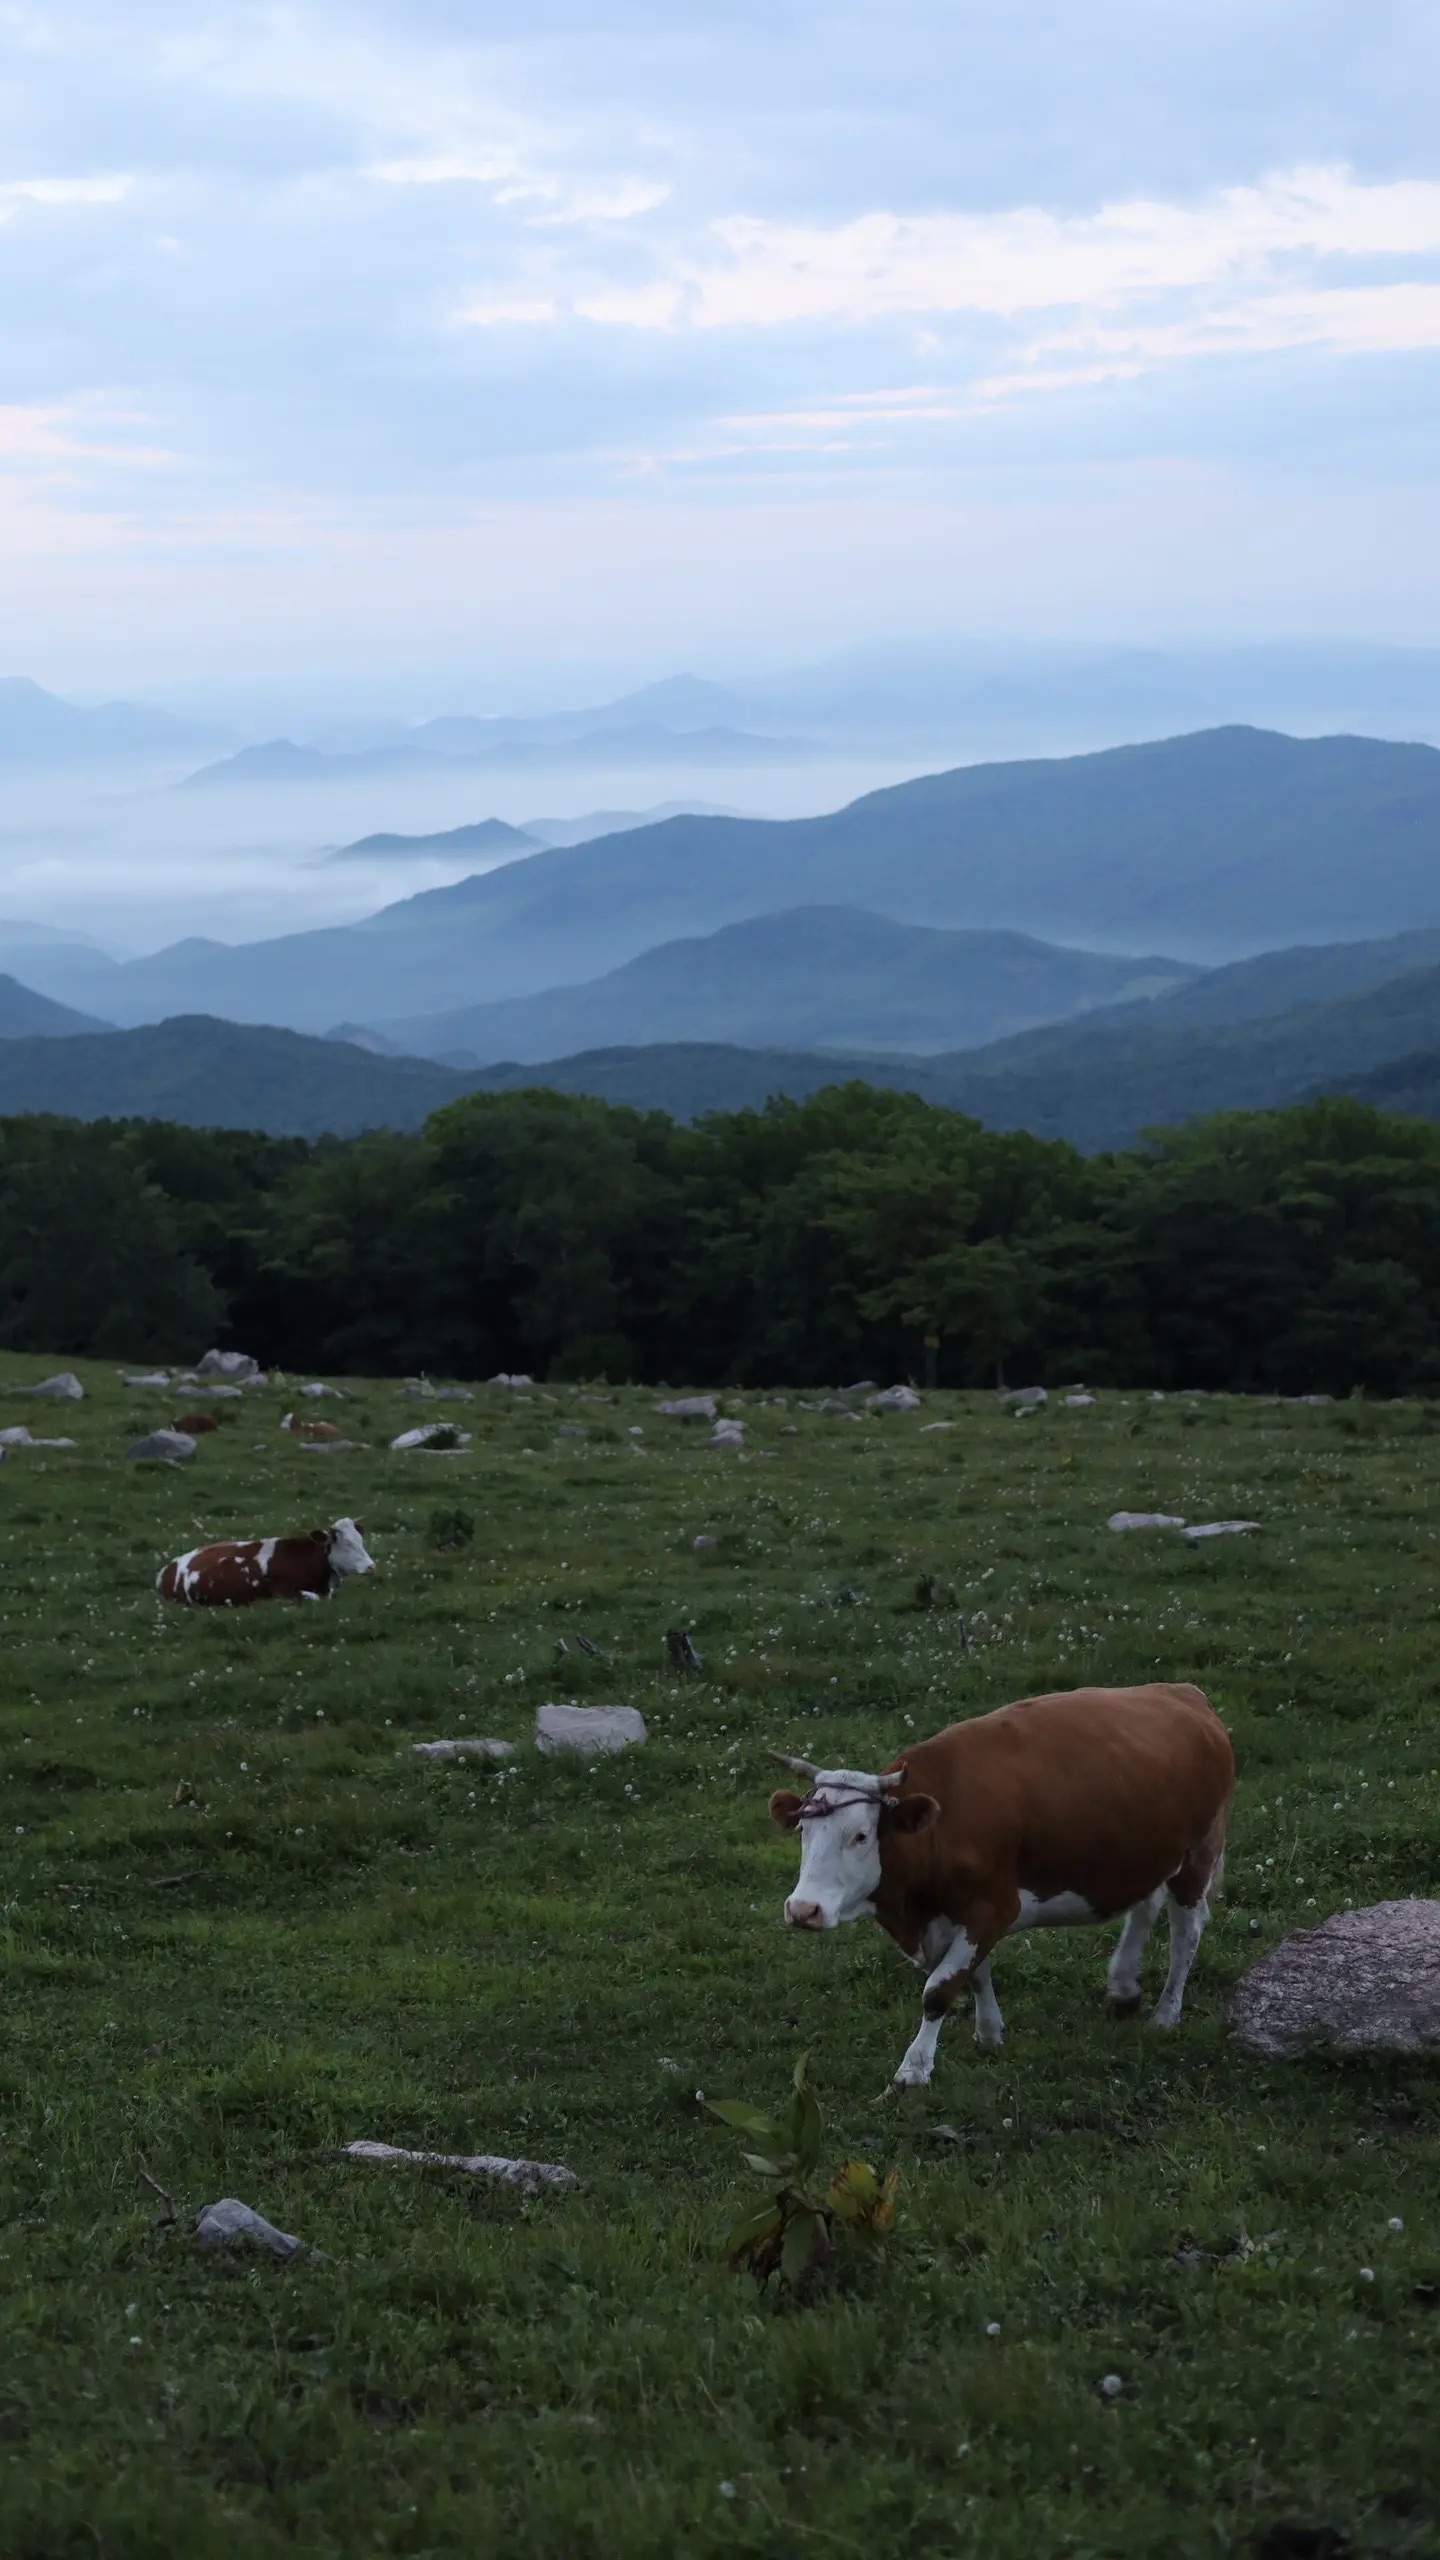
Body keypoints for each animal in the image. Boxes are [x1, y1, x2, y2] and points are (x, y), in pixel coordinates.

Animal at [768, 1689, 1229, 2088]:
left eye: (861, 1835)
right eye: (804, 1830)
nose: (803, 1909)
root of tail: (1184, 1693)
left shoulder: (994, 1907)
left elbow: (939, 1989)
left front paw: (914, 2069)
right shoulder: (956, 1915)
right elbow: (974, 1974)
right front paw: (989, 2033)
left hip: (1196, 1857)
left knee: (1186, 1935)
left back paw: (1166, 2014)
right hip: (1147, 1854)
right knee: (1145, 1906)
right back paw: (1124, 1987)